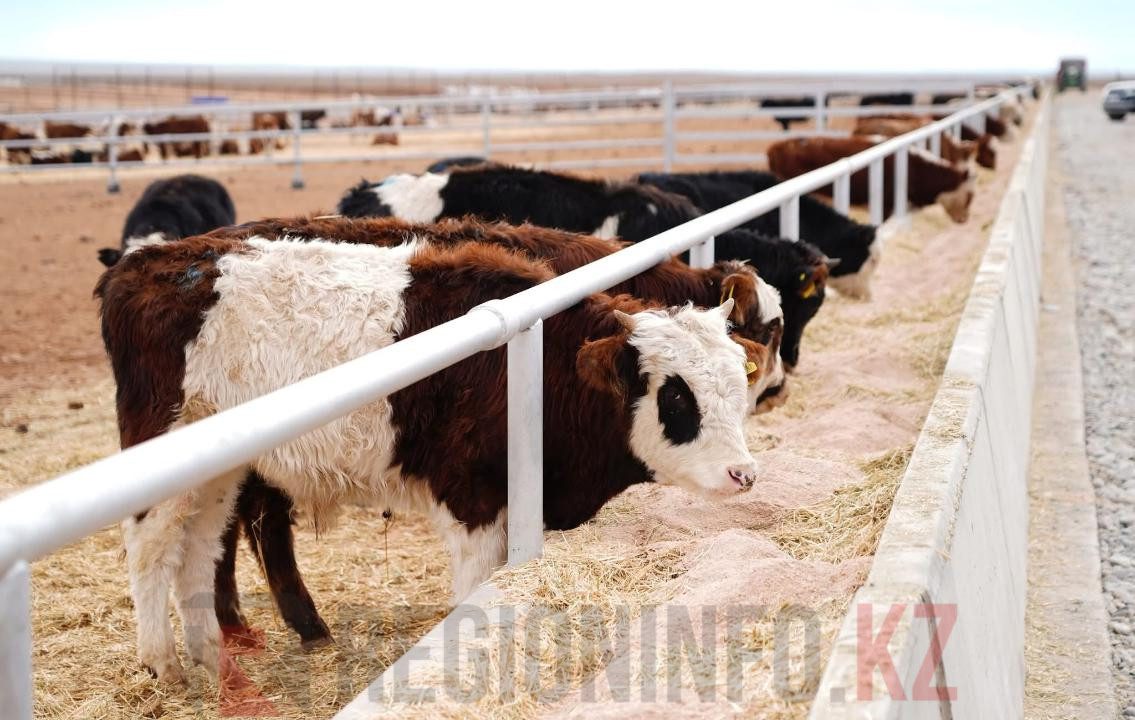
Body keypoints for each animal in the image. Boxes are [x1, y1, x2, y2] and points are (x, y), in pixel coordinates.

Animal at [96, 233, 761, 685]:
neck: (543, 366)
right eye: (677, 395)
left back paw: (211, 657)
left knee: (199, 547)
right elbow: (474, 593)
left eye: (737, 382)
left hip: (218, 471)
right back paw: (162, 663)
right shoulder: (473, 500)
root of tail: (144, 263)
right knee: (150, 546)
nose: (744, 473)